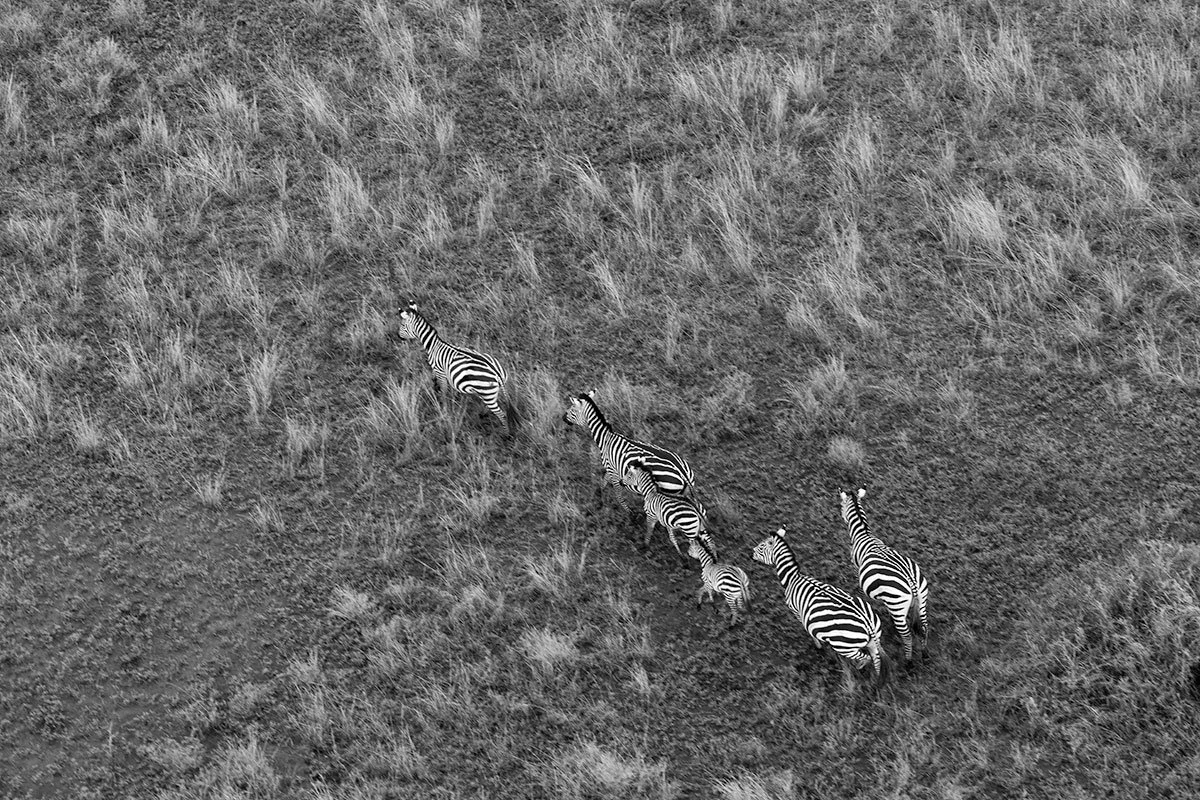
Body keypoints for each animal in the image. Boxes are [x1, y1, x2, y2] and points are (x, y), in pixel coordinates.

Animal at [395, 301, 513, 431]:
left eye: (402, 324)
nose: (398, 336)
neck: (433, 345)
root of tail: (497, 373)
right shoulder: (439, 371)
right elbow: (437, 382)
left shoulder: (440, 372)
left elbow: (444, 391)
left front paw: (444, 408)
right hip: (493, 391)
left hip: (488, 394)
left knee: (501, 414)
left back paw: (505, 432)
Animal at [562, 391, 696, 510]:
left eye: (572, 409)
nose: (563, 417)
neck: (605, 437)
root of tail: (683, 474)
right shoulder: (611, 469)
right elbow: (604, 482)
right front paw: (600, 497)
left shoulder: (612, 471)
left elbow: (618, 494)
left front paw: (627, 513)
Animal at [752, 527, 884, 680]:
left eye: (761, 546)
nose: (751, 554)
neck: (792, 578)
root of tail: (868, 624)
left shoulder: (796, 611)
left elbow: (807, 630)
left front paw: (818, 645)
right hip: (872, 641)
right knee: (875, 660)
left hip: (845, 646)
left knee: (866, 658)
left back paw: (854, 669)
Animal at [839, 487, 929, 661]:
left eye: (841, 507)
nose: (842, 518)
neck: (863, 534)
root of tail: (912, 583)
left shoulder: (856, 565)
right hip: (921, 600)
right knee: (924, 627)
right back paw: (925, 655)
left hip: (897, 606)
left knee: (907, 635)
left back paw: (908, 661)